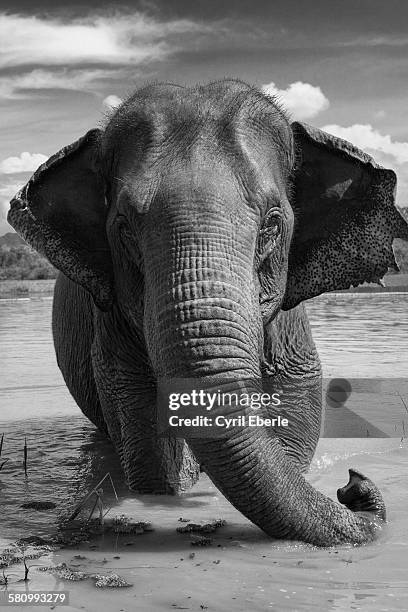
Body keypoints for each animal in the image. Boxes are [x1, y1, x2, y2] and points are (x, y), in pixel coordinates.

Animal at [7, 80, 408, 544]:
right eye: (124, 228)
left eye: (272, 223)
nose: (352, 485)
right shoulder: (112, 322)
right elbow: (146, 443)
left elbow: (295, 413)